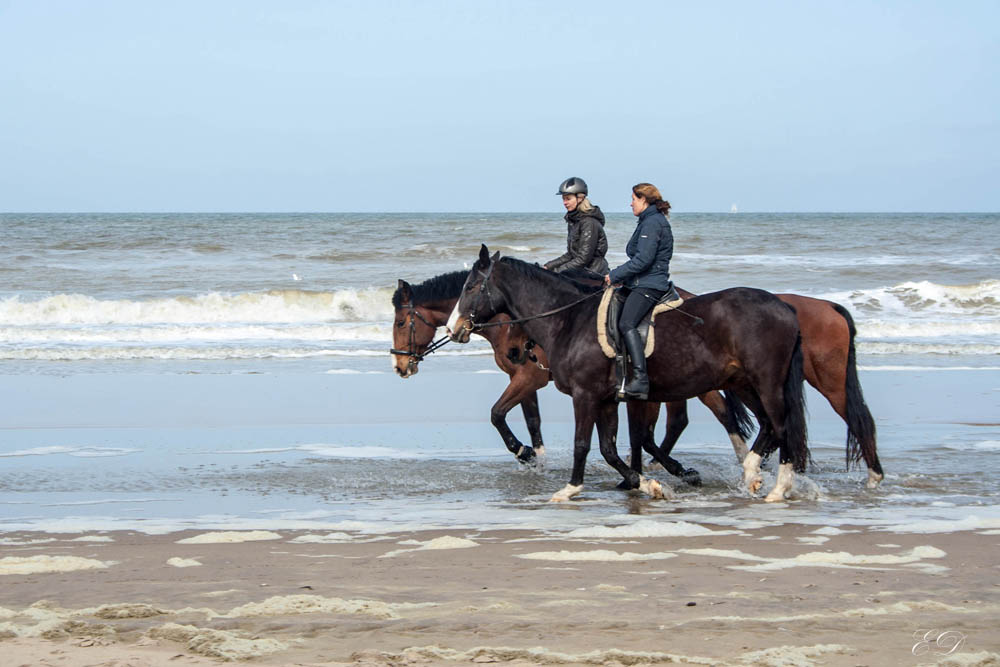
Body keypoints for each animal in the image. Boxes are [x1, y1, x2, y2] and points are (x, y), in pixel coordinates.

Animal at [450, 248, 808, 504]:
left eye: (470, 287)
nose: (455, 329)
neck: (570, 321)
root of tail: (785, 308)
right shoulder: (607, 399)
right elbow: (608, 448)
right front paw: (648, 485)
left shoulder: (586, 395)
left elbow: (583, 443)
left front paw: (570, 488)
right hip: (745, 383)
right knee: (767, 425)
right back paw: (752, 473)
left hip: (765, 382)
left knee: (780, 425)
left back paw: (777, 486)